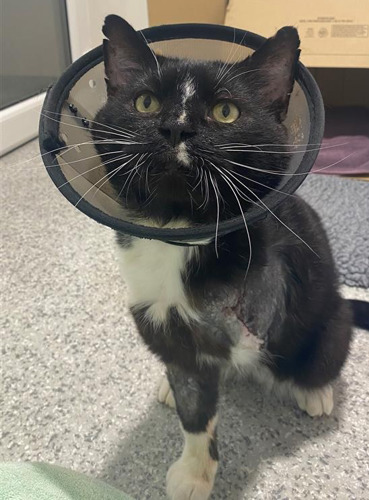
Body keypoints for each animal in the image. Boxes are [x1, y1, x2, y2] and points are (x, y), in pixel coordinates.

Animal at [92, 14, 354, 500]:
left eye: (226, 111)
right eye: (145, 102)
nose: (175, 128)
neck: (177, 232)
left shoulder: (255, 306)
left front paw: (196, 473)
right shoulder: (159, 316)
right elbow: (194, 405)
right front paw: (195, 469)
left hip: (331, 315)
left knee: (320, 355)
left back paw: (316, 392)